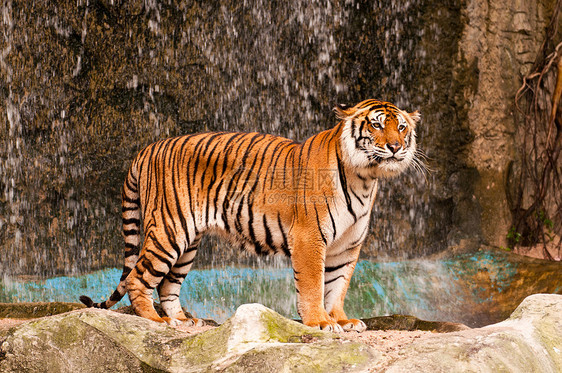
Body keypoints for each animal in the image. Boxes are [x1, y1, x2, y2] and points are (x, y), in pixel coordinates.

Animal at [80, 98, 420, 332]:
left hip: (188, 242)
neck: (365, 177)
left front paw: (342, 320)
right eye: (376, 125)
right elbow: (313, 285)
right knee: (137, 278)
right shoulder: (310, 237)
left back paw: (182, 320)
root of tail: (147, 148)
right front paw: (320, 322)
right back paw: (157, 321)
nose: (395, 146)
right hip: (168, 230)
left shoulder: (347, 246)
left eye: (401, 127)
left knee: (167, 285)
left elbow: (336, 287)